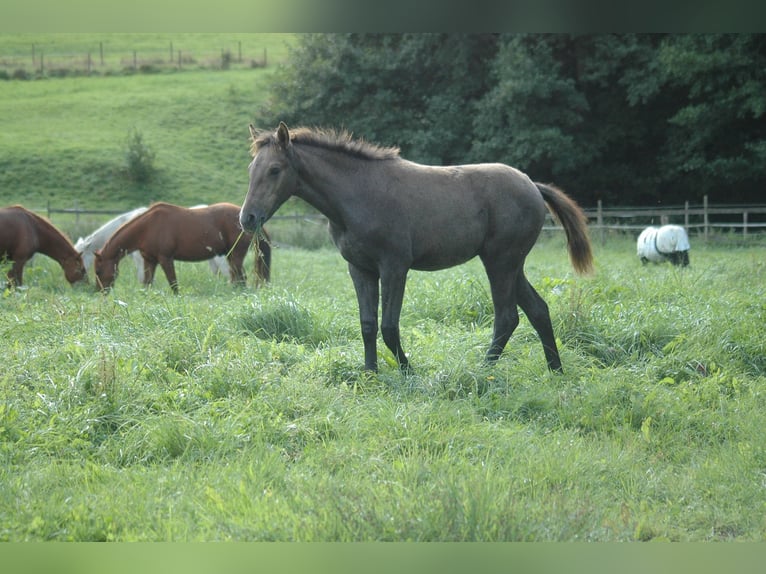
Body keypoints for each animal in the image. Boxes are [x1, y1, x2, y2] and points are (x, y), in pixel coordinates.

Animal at [95, 202, 272, 294]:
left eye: (98, 271)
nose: (101, 291)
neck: (148, 227)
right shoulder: (149, 261)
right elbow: (147, 283)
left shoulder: (165, 258)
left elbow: (173, 284)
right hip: (230, 256)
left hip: (235, 256)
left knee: (241, 279)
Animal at [240, 122, 592, 374]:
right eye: (251, 169)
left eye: (275, 170)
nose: (248, 218)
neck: (358, 194)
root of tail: (532, 184)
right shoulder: (360, 268)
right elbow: (367, 324)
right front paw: (370, 373)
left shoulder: (395, 267)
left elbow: (388, 326)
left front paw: (409, 371)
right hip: (511, 264)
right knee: (538, 310)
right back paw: (556, 371)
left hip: (500, 262)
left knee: (507, 317)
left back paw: (483, 370)